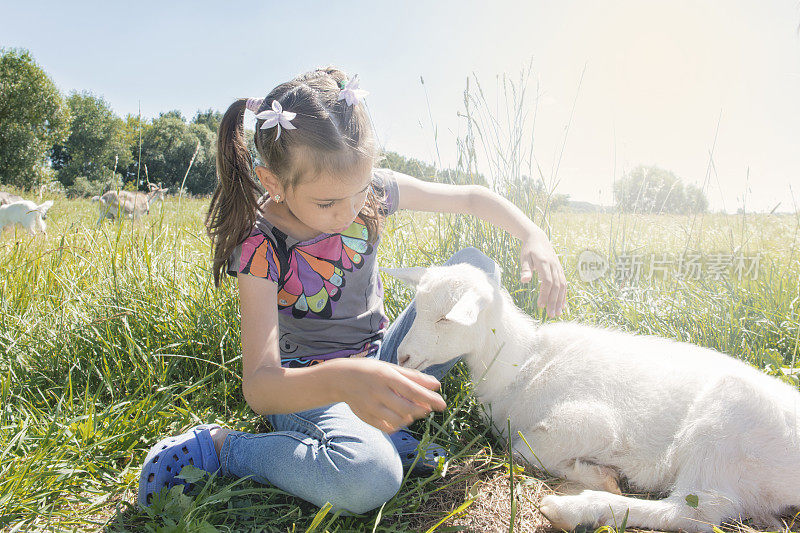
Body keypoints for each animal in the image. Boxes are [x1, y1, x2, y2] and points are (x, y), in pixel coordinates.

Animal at [382, 262, 800, 532]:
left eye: (446, 318)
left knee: (691, 513)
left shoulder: (591, 424)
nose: (402, 357)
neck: (522, 363)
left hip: (725, 427)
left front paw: (601, 476)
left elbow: (522, 449)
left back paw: (572, 508)